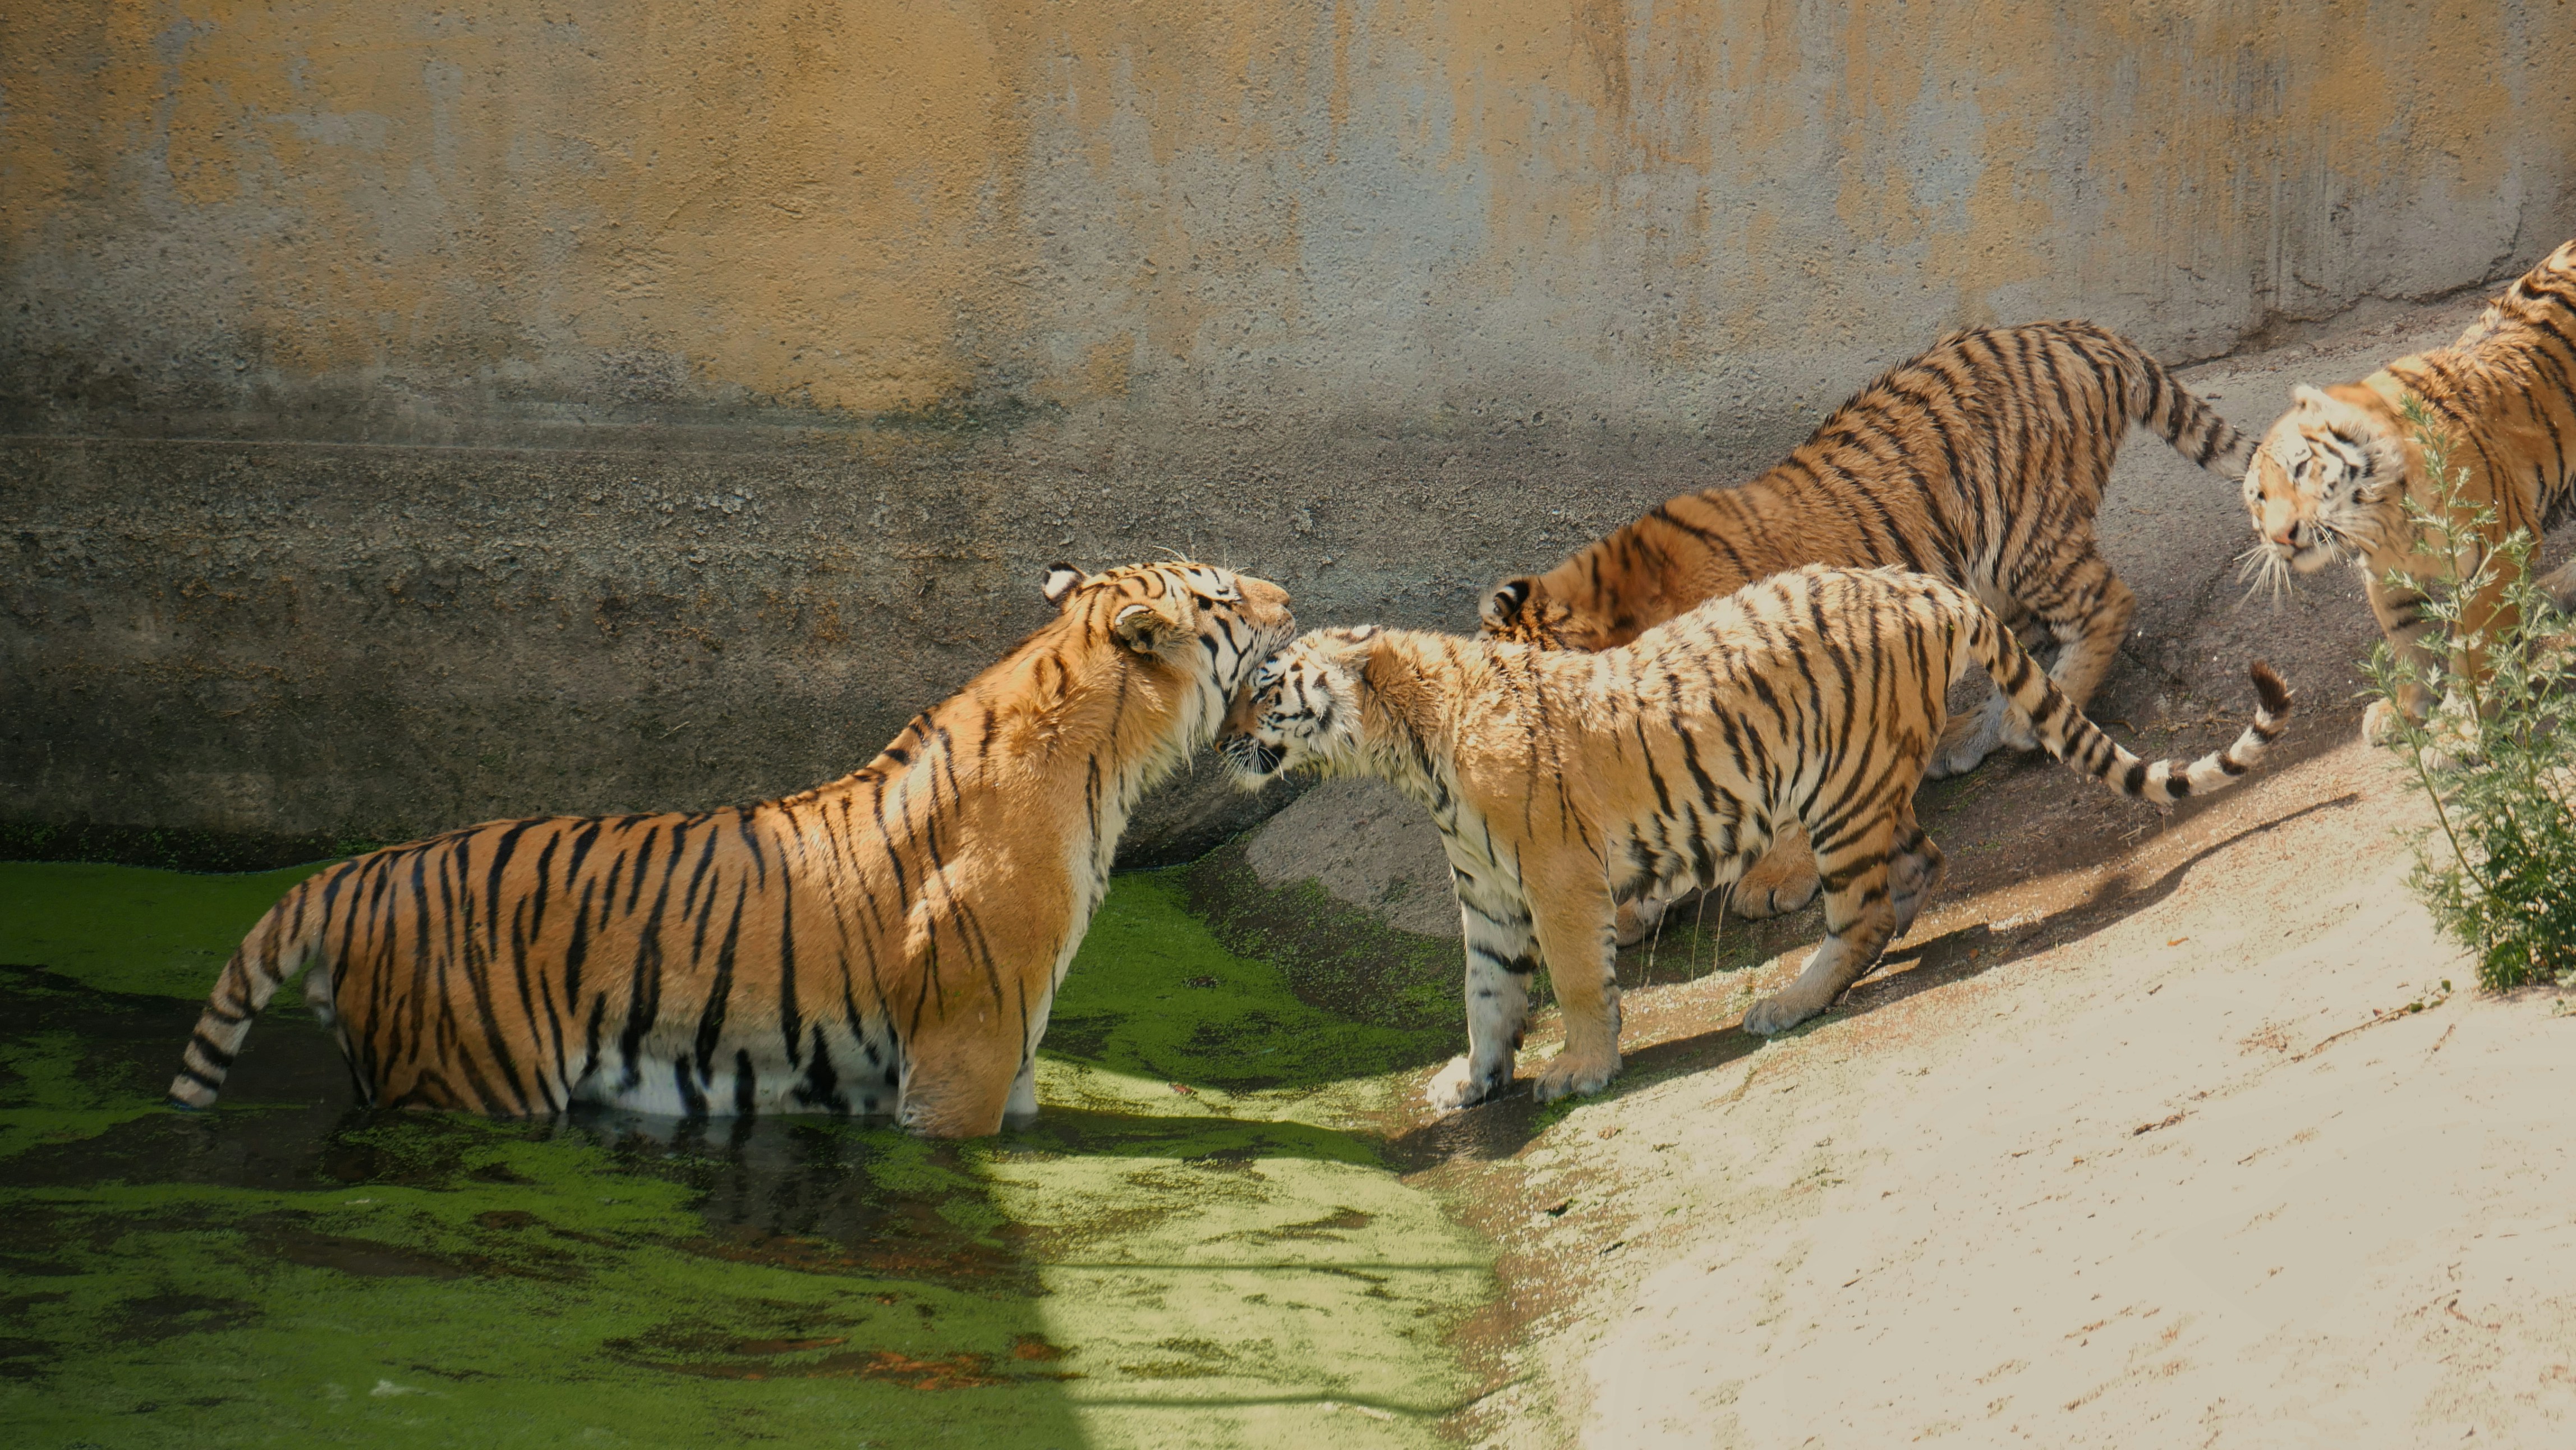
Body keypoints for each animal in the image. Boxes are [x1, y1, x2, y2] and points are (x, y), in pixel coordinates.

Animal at [167, 561, 1295, 1138]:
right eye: (1225, 596)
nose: (1290, 596)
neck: (1110, 756)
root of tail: (353, 871)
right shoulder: (967, 1053)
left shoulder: (1011, 1053)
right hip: (470, 1074)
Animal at [1221, 565, 2291, 1109]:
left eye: (1263, 689)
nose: (1219, 740)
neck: (1407, 754)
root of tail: (1926, 586)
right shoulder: (1487, 894)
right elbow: (1486, 995)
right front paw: (1474, 1078)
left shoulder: (1557, 881)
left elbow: (1576, 985)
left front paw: (1579, 1070)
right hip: (1865, 785)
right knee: (1921, 865)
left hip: (1839, 796)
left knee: (1861, 910)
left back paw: (1790, 999)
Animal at [1481, 321, 2253, 930]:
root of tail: (2077, 332)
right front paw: (1629, 908)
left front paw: (1772, 880)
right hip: (1983, 576)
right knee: (2023, 651)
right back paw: (1970, 735)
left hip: (2021, 538)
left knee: (2107, 602)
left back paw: (2016, 729)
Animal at [2240, 238, 2576, 745]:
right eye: (2259, 497)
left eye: (2300, 468)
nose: (2281, 536)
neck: (2387, 520)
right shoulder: (2386, 574)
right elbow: (2406, 640)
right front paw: (2404, 710)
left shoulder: (2496, 557)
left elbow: (2473, 651)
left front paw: (2460, 730)